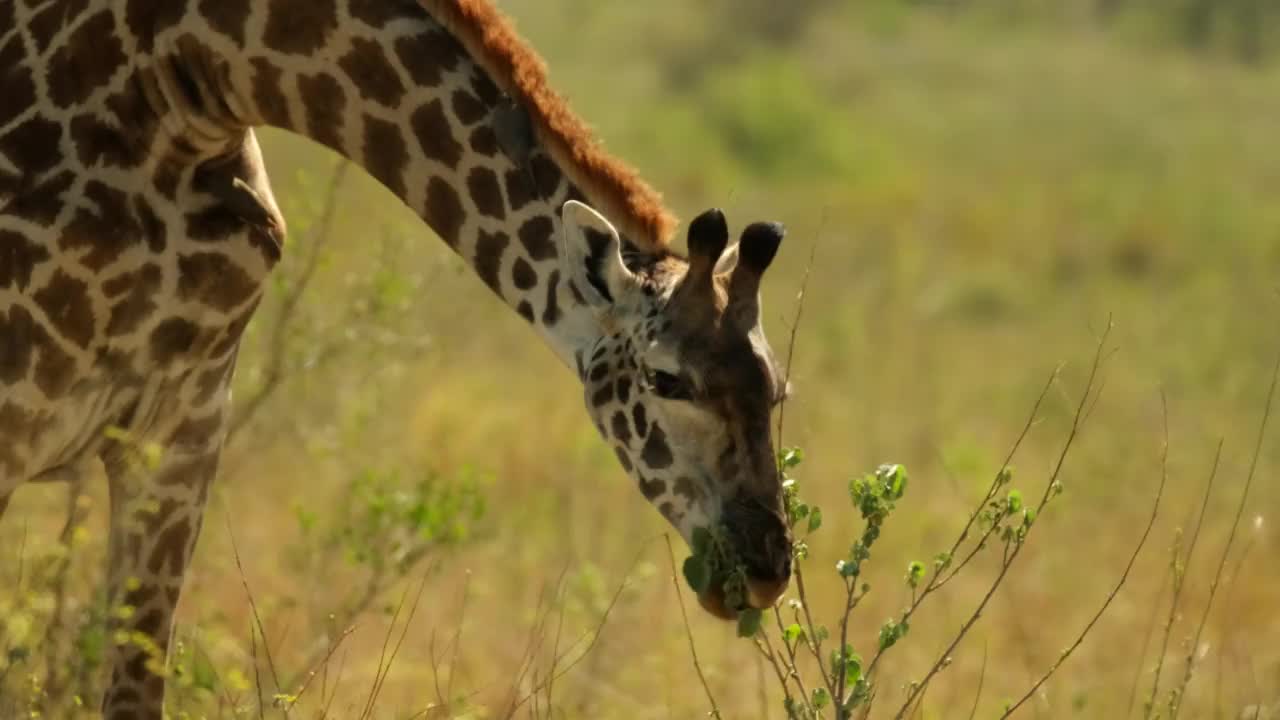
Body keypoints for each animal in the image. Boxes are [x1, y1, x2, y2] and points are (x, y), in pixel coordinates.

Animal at [0, 0, 793, 712]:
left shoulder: (179, 437)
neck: (185, 82)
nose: (765, 568)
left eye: (777, 389)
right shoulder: (17, 422)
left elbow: (135, 685)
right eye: (665, 378)